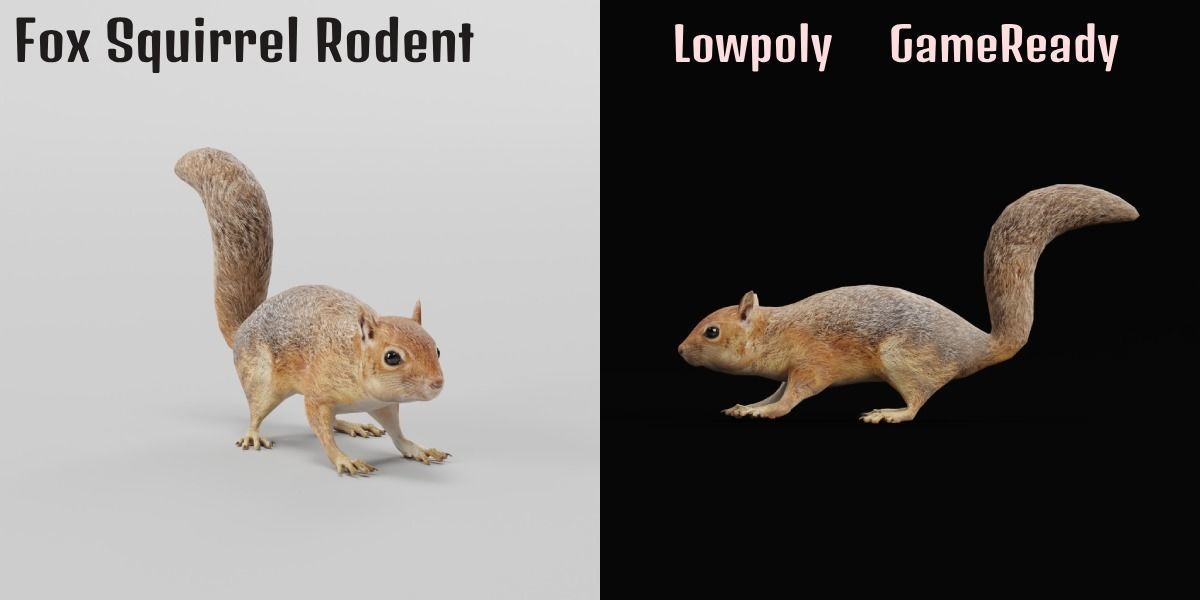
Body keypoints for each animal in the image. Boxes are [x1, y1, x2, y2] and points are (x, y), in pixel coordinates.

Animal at [175, 148, 449, 475]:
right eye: (392, 357)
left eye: (437, 349)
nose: (437, 383)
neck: (354, 358)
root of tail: (243, 327)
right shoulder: (319, 393)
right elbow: (319, 427)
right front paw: (344, 459)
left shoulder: (384, 404)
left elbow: (397, 435)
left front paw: (417, 448)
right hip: (261, 380)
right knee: (257, 410)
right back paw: (254, 434)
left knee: (335, 419)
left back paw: (352, 424)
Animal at [677, 184, 1138, 423]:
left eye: (711, 331)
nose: (680, 351)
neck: (778, 328)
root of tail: (978, 345)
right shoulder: (786, 370)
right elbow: (774, 391)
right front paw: (749, 406)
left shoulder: (812, 362)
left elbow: (797, 393)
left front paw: (770, 412)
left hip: (905, 361)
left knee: (918, 401)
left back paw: (890, 412)